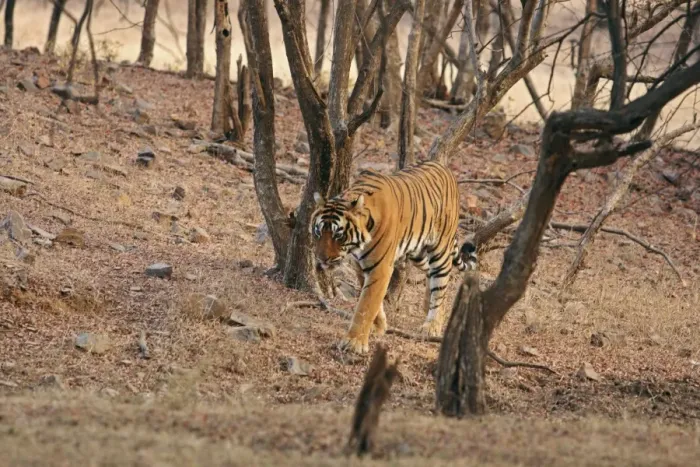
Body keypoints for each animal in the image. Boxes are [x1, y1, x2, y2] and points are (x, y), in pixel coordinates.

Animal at [310, 160, 478, 354]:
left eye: (338, 235)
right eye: (318, 232)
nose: (322, 258)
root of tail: (445, 168)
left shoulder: (380, 267)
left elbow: (366, 304)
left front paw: (354, 343)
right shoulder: (360, 266)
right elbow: (373, 301)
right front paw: (379, 326)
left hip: (440, 248)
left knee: (441, 282)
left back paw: (432, 324)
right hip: (418, 253)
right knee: (430, 274)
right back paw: (427, 305)